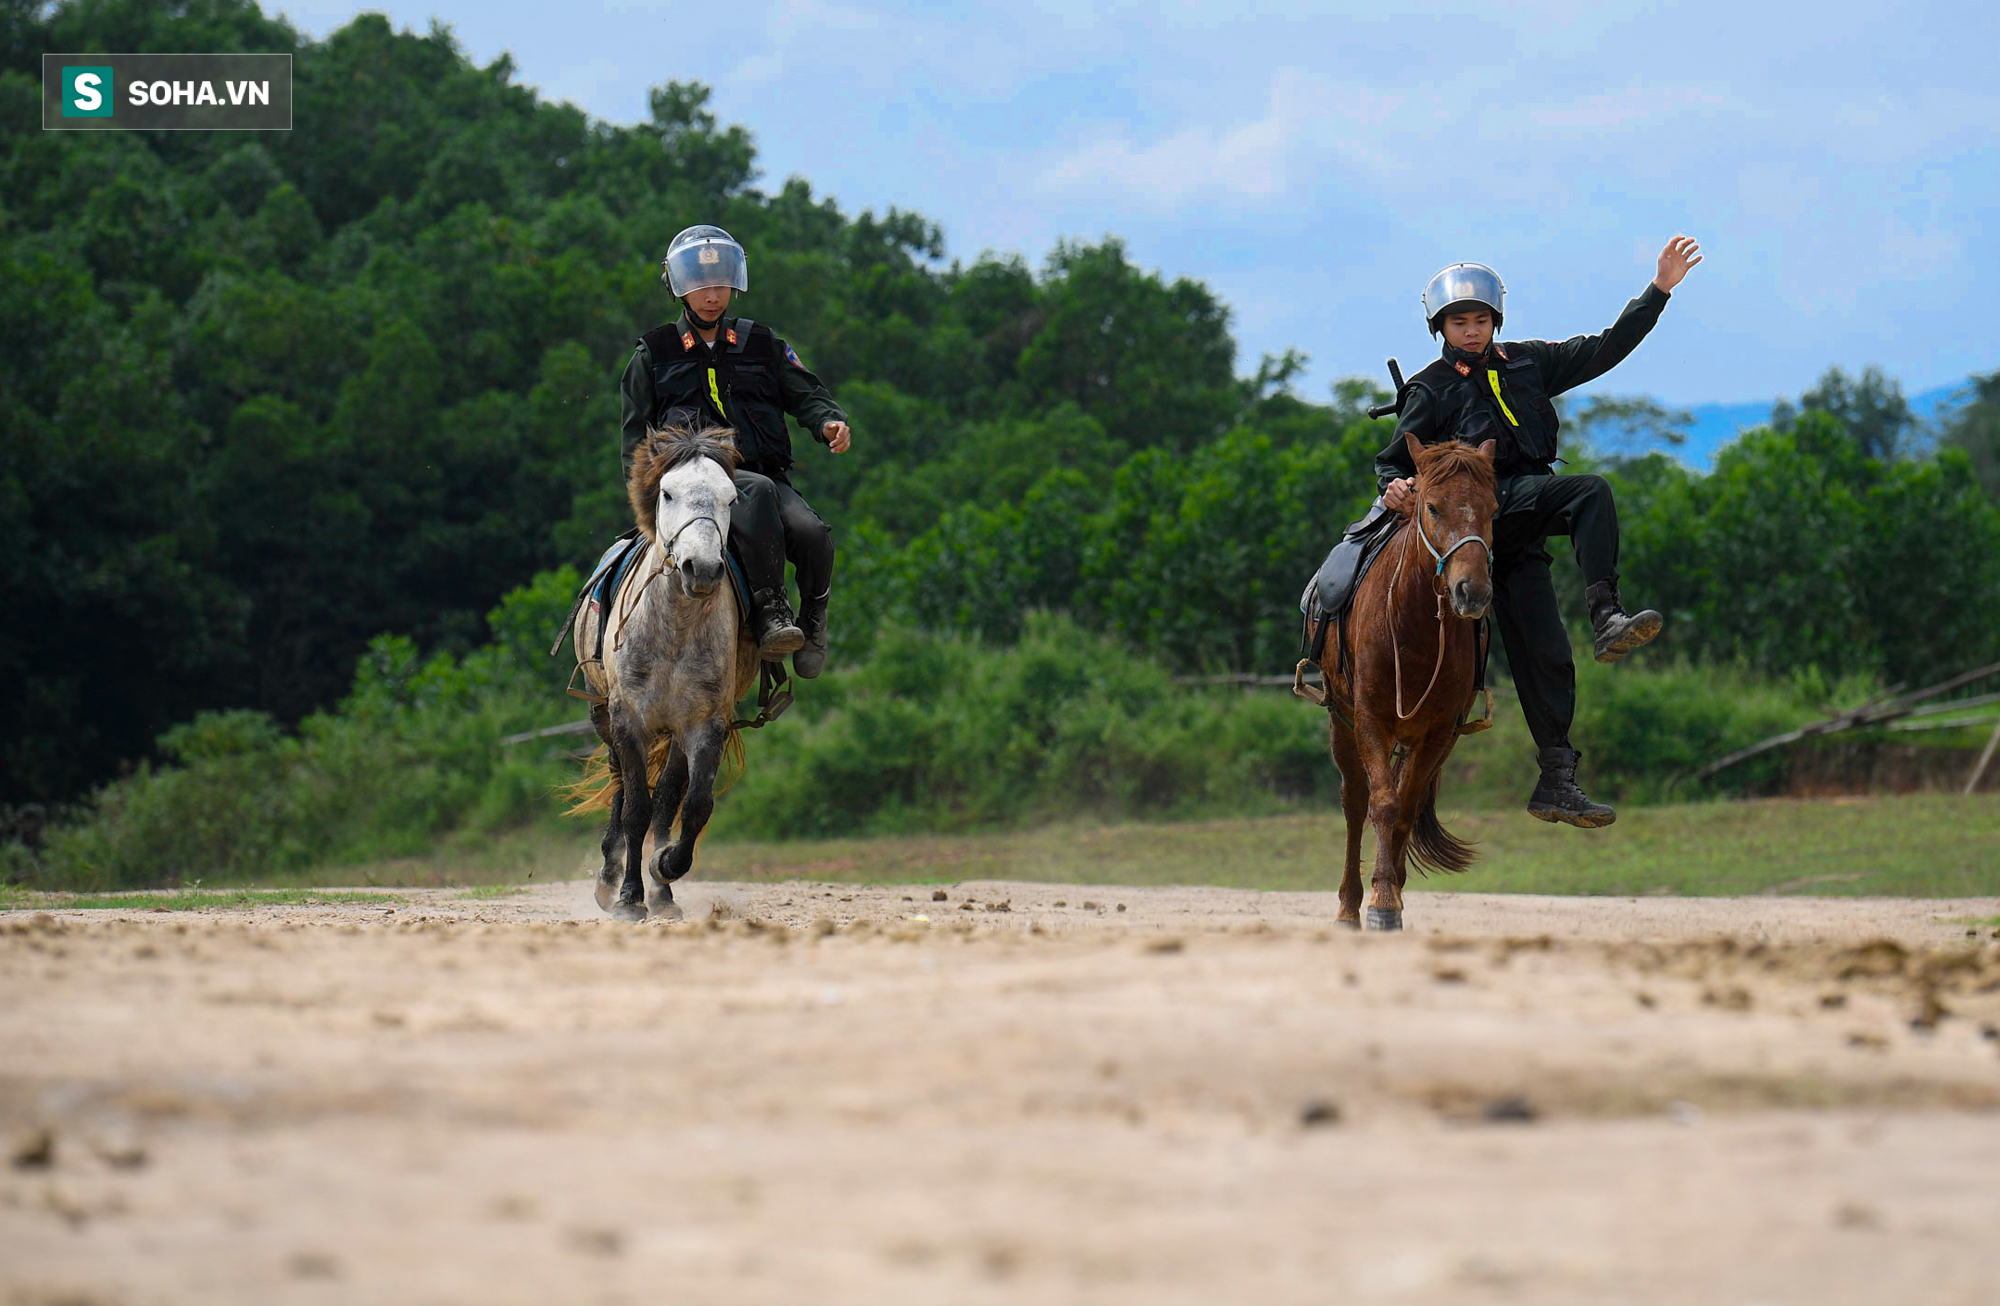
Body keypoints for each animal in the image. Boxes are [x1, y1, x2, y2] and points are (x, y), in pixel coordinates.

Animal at [1304, 436, 1496, 928]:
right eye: (1432, 507)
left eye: (1492, 508)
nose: (1472, 591)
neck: (1416, 627)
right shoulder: (1370, 719)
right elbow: (1383, 804)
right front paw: (1380, 904)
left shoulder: (1438, 733)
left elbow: (1406, 808)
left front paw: (1389, 893)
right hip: (1342, 723)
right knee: (1356, 802)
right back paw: (1349, 904)